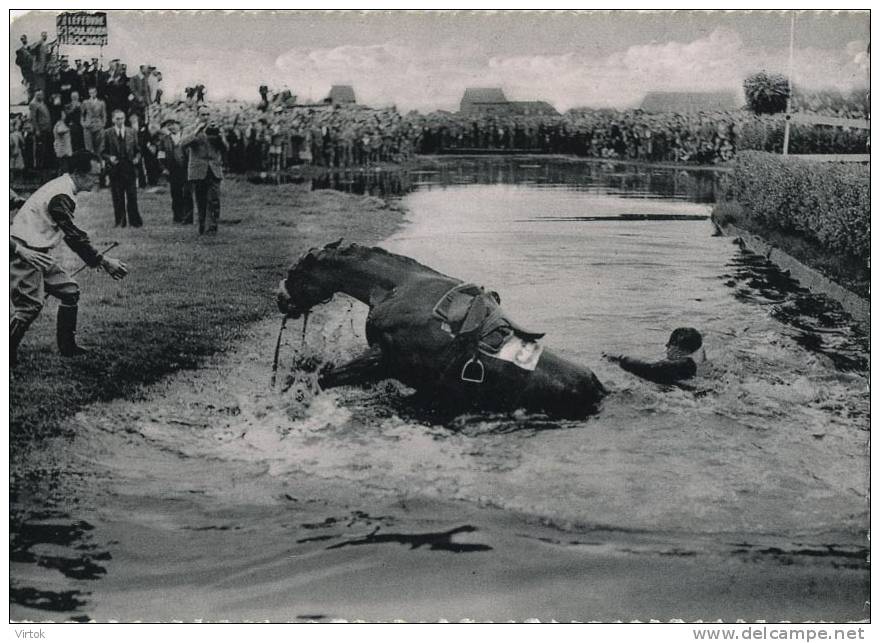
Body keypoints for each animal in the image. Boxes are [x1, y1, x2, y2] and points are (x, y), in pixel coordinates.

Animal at [276, 240, 604, 418]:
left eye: (294, 272)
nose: (280, 299)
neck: (398, 287)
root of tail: (597, 386)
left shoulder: (383, 360)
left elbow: (325, 377)